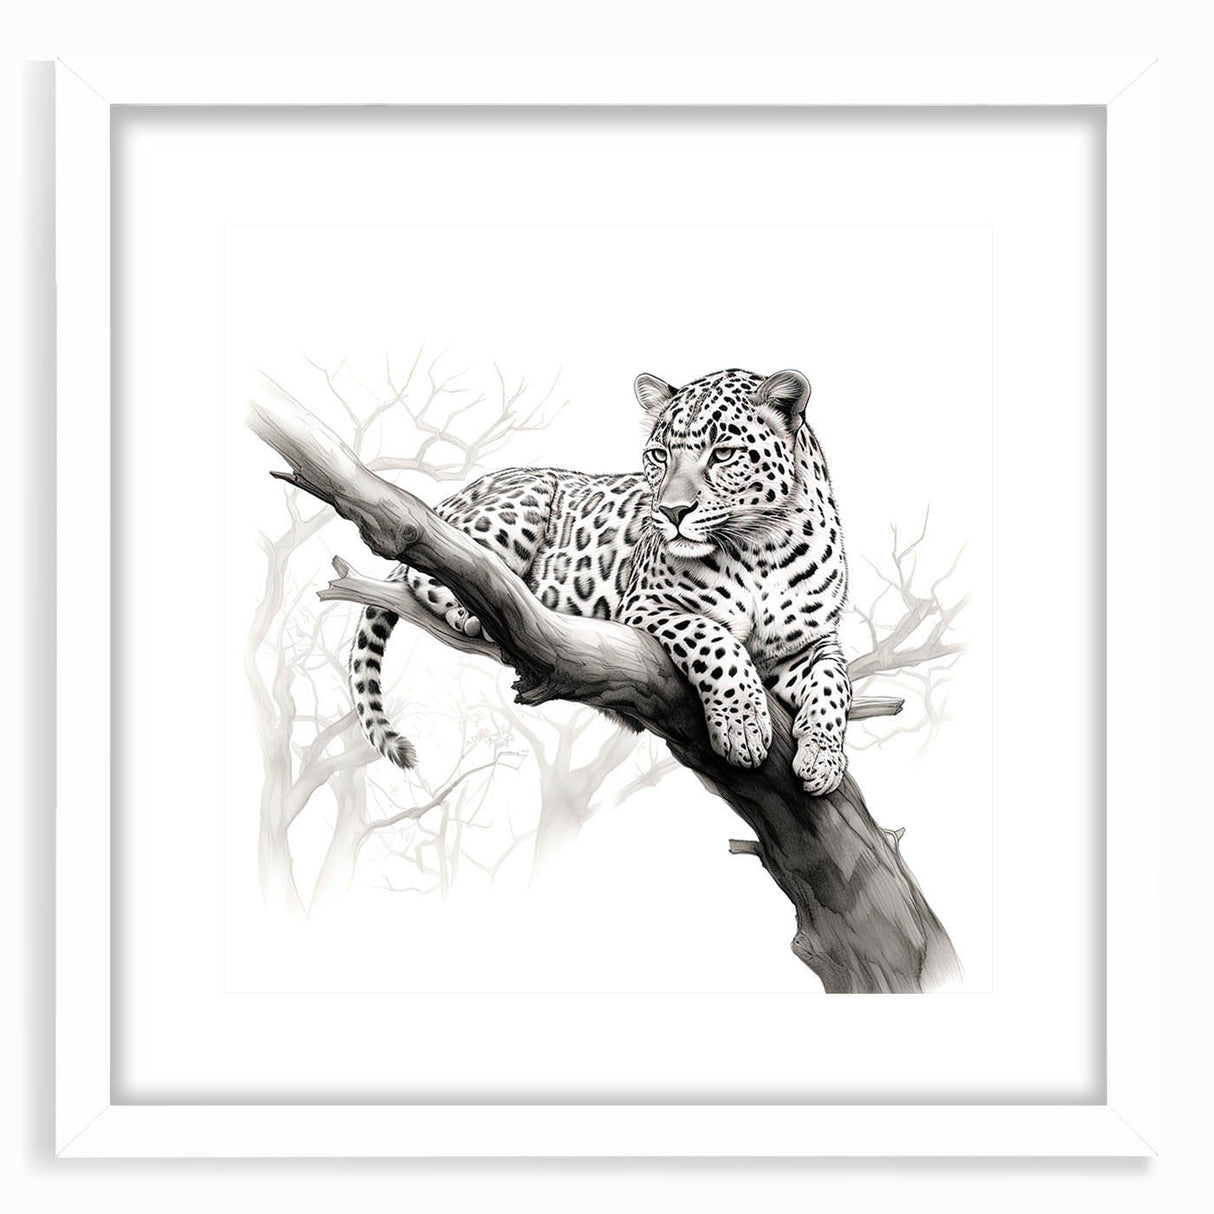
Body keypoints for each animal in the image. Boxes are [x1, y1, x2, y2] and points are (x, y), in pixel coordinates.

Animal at [348, 367, 852, 795]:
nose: (671, 512)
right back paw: (475, 609)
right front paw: (742, 726)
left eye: (723, 454)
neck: (762, 551)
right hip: (517, 508)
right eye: (659, 455)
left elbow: (834, 683)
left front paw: (823, 759)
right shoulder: (646, 604)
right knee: (437, 564)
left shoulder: (811, 641)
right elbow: (715, 641)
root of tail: (456, 494)